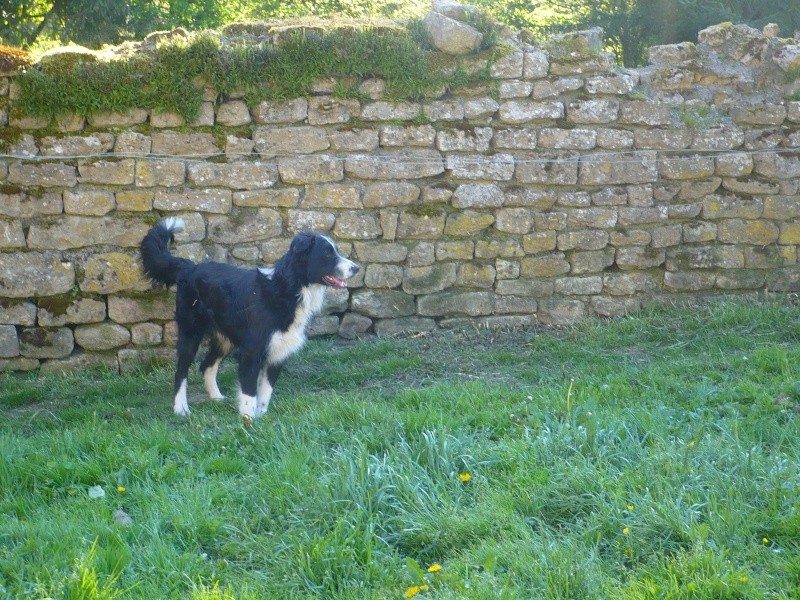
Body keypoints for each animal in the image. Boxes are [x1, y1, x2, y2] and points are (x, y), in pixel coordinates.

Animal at [140, 218, 360, 420]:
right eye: (327, 253)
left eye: (336, 250)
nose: (356, 268)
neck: (288, 289)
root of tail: (189, 267)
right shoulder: (251, 352)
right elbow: (249, 394)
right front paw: (247, 423)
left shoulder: (278, 353)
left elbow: (265, 393)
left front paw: (261, 418)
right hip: (190, 333)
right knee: (181, 372)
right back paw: (181, 408)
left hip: (224, 339)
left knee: (207, 366)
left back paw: (216, 397)